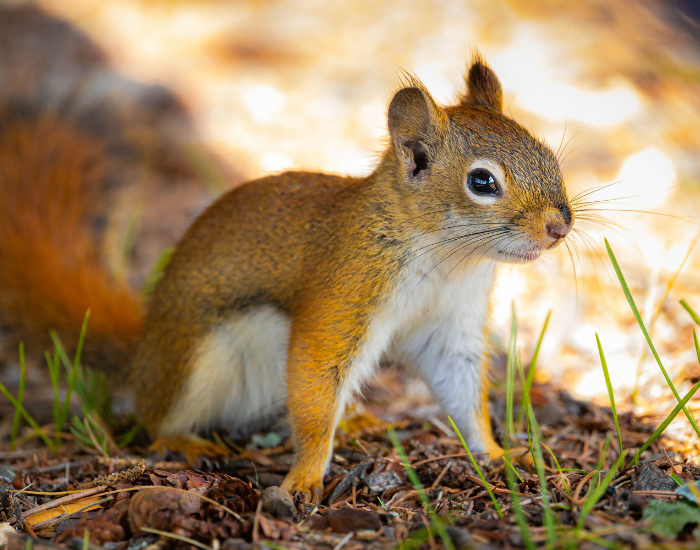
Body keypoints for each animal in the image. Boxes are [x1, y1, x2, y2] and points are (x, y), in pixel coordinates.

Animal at [0, 52, 572, 504]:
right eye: (482, 182)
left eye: (546, 153)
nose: (560, 226)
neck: (448, 259)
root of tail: (142, 357)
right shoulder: (344, 291)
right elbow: (316, 383)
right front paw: (304, 478)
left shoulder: (452, 322)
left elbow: (463, 395)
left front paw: (496, 452)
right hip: (196, 361)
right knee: (155, 417)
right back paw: (185, 441)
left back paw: (356, 419)